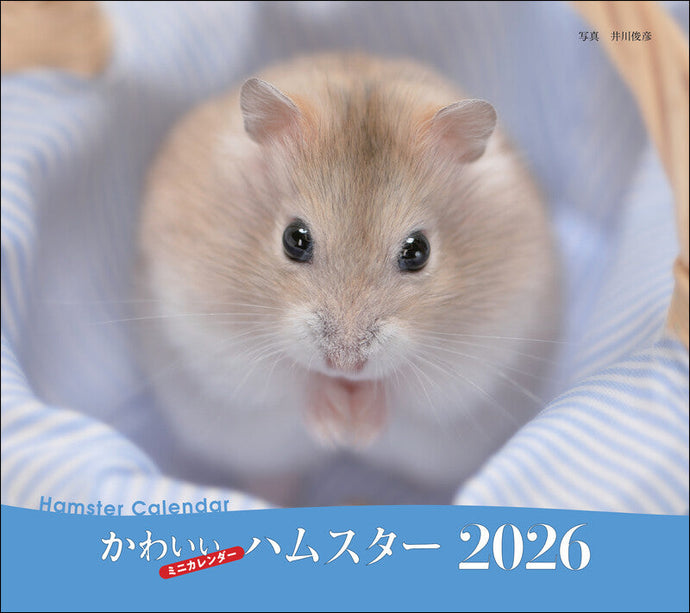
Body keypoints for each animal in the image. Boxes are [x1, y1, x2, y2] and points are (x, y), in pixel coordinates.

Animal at [136, 53, 560, 506]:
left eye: (418, 251)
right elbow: (290, 378)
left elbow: (405, 387)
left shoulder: (482, 350)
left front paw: (357, 429)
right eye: (294, 239)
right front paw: (336, 425)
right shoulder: (210, 334)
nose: (345, 365)